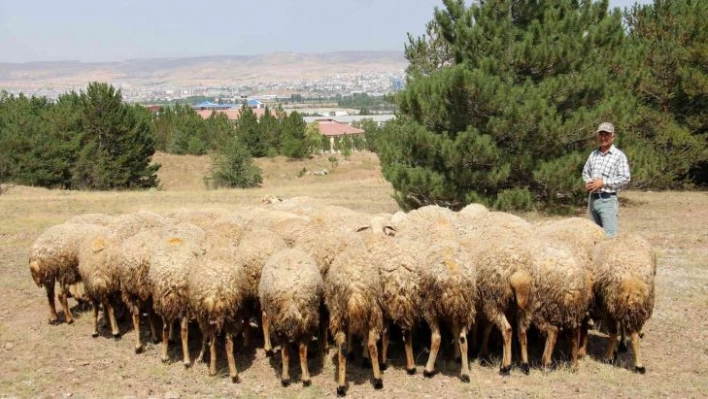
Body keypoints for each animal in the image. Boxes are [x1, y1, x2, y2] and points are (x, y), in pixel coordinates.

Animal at [258, 248, 324, 390]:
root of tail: (291, 295)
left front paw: (268, 349)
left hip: (280, 322)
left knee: (285, 350)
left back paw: (286, 377)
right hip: (306, 318)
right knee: (301, 349)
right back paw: (304, 378)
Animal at [324, 236, 384, 396]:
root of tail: (355, 292)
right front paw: (362, 357)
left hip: (339, 312)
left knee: (343, 349)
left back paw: (341, 387)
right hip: (372, 311)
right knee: (371, 344)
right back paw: (377, 380)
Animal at [420, 239, 476, 382]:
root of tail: (454, 279)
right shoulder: (454, 313)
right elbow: (455, 333)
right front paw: (456, 355)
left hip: (431, 307)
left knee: (436, 338)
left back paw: (428, 370)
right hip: (466, 310)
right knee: (462, 338)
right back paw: (465, 373)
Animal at [588, 233, 656, 374]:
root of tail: (631, 280)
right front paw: (622, 344)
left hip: (611, 306)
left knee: (615, 332)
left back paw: (609, 357)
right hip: (634, 308)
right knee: (633, 334)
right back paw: (638, 364)